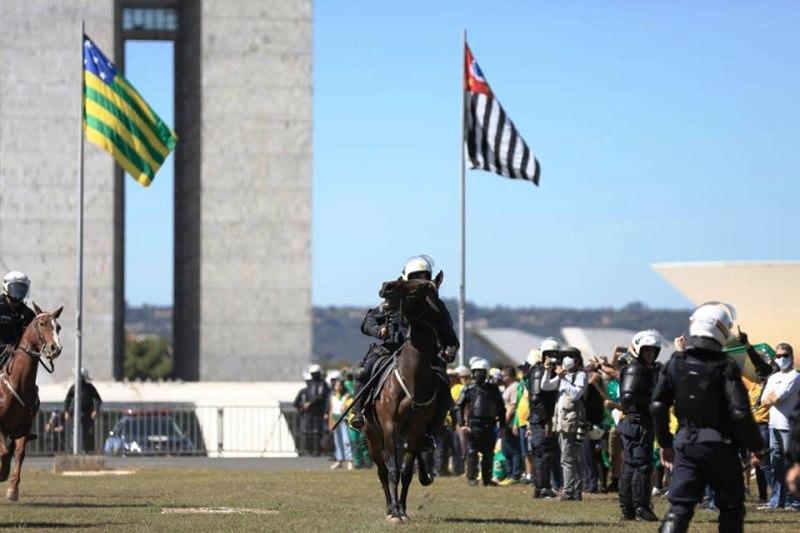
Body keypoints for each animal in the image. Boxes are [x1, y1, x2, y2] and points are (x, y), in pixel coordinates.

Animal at [0, 304, 62, 498]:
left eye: (58, 327)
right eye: (41, 323)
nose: (55, 348)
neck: (18, 382)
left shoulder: (24, 427)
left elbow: (19, 453)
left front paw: (12, 489)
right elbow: (4, 452)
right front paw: (2, 474)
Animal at [364, 272, 456, 520]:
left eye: (422, 286)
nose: (386, 286)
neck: (411, 378)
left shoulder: (415, 432)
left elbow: (406, 472)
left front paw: (403, 510)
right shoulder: (389, 427)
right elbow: (393, 471)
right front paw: (395, 512)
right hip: (372, 434)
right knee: (382, 470)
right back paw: (389, 507)